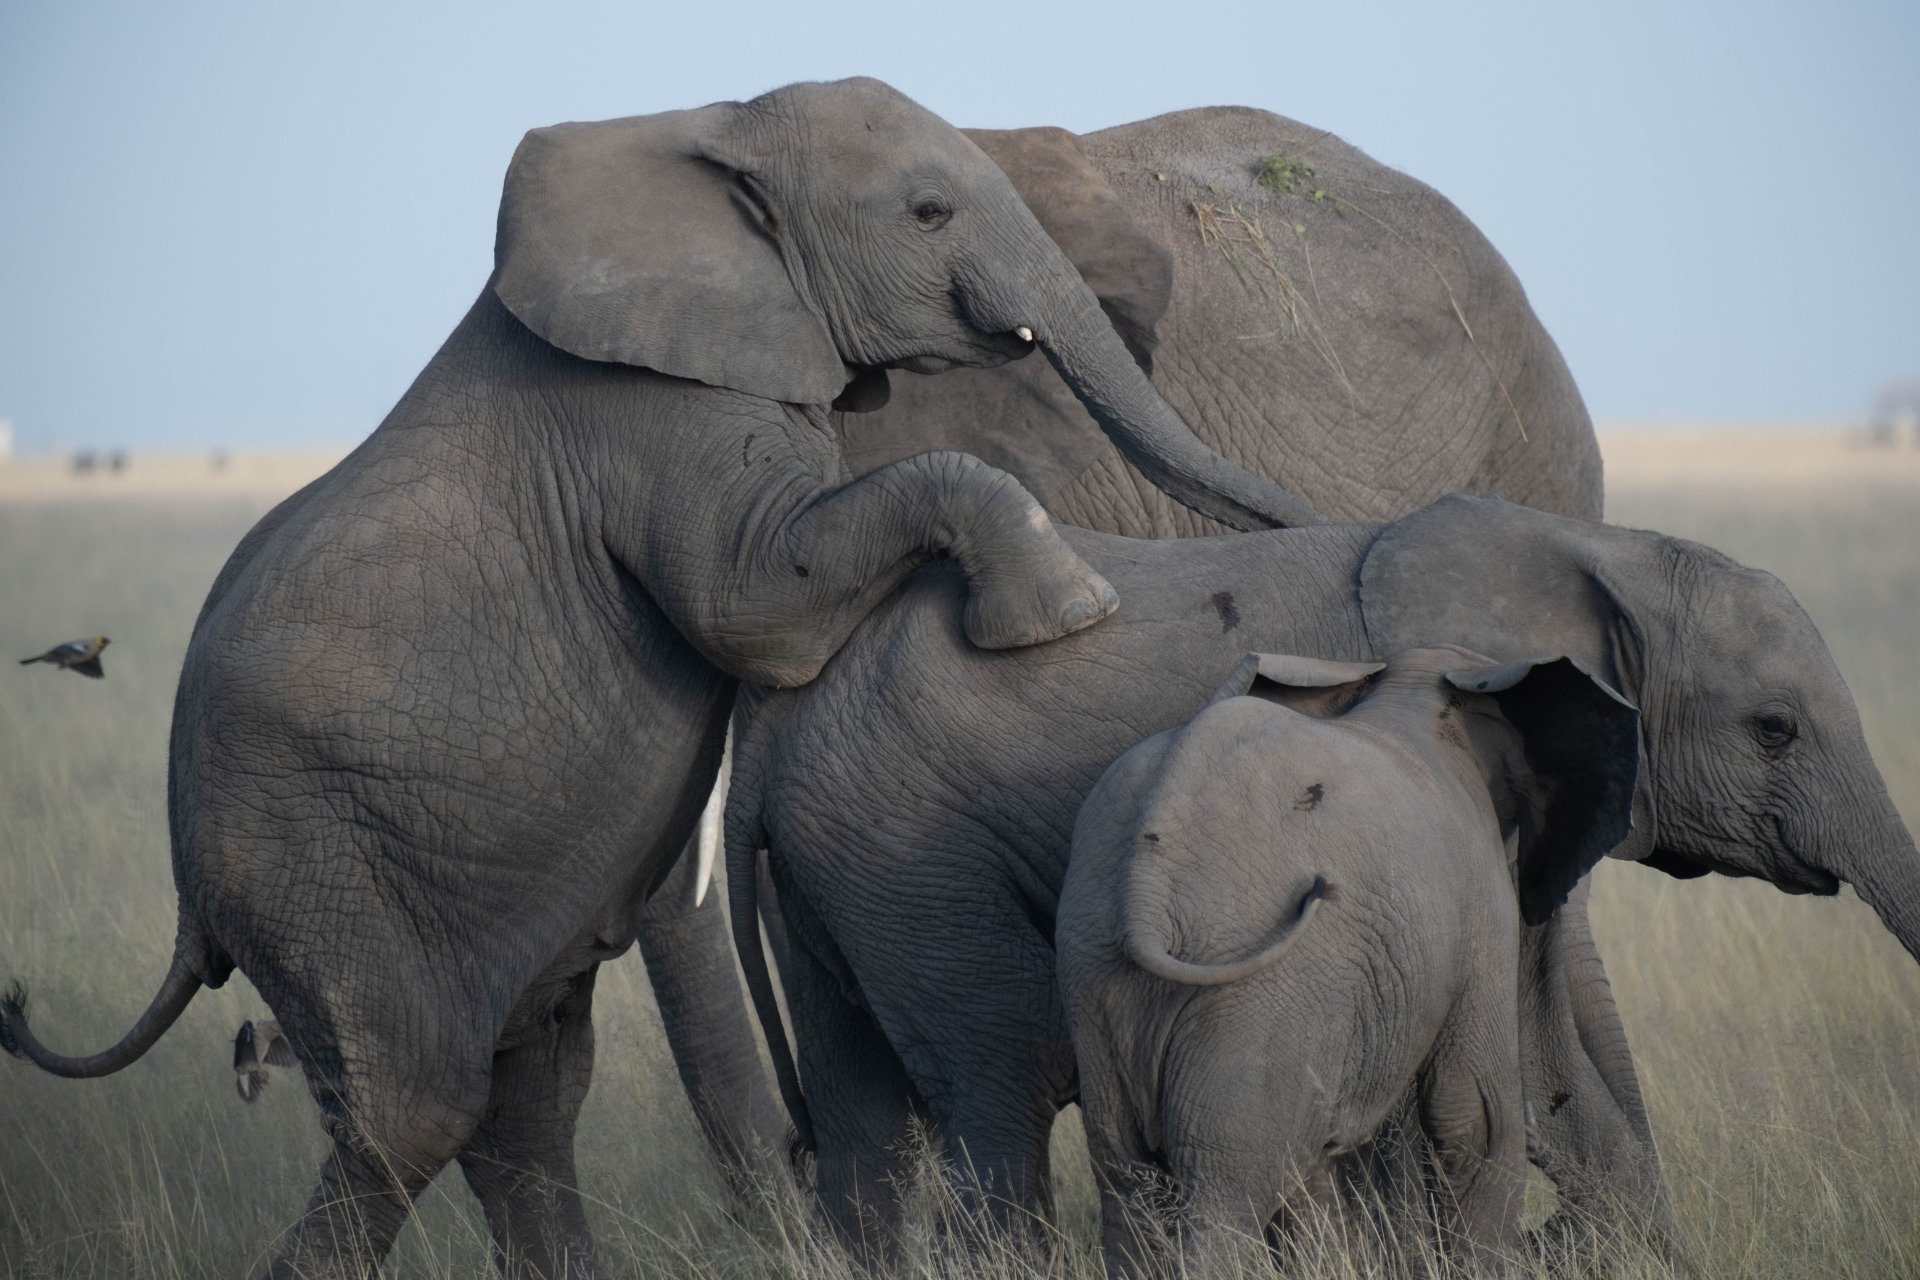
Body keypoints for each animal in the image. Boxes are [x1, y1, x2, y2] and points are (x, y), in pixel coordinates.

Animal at [0, 78, 1320, 1280]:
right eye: (930, 210)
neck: (711, 127)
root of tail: (188, 894)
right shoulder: (650, 422)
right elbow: (761, 600)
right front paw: (1069, 608)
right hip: (305, 857)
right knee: (408, 1112)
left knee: (524, 1097)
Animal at [1058, 647, 1641, 1273]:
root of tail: (1145, 886)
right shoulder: (1482, 908)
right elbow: (1474, 1115)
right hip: (1261, 997)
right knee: (1222, 1196)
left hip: (1095, 974)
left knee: (1128, 1184)